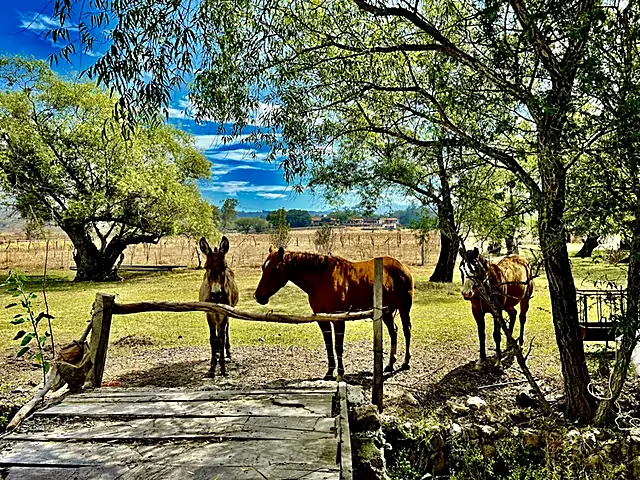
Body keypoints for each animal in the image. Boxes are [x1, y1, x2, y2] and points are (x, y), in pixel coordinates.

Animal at [199, 236, 239, 377]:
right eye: (206, 268)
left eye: (224, 267)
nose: (216, 295)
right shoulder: (210, 314)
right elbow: (213, 339)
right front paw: (212, 367)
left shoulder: (224, 314)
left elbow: (221, 338)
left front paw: (222, 367)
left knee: (226, 331)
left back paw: (227, 353)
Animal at [254, 247, 414, 380]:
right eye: (263, 267)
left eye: (275, 269)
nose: (259, 296)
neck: (322, 279)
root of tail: (402, 267)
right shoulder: (322, 320)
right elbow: (329, 345)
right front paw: (329, 372)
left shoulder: (338, 320)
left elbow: (338, 347)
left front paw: (340, 373)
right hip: (387, 311)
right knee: (394, 332)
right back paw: (390, 364)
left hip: (404, 308)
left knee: (406, 331)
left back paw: (405, 363)